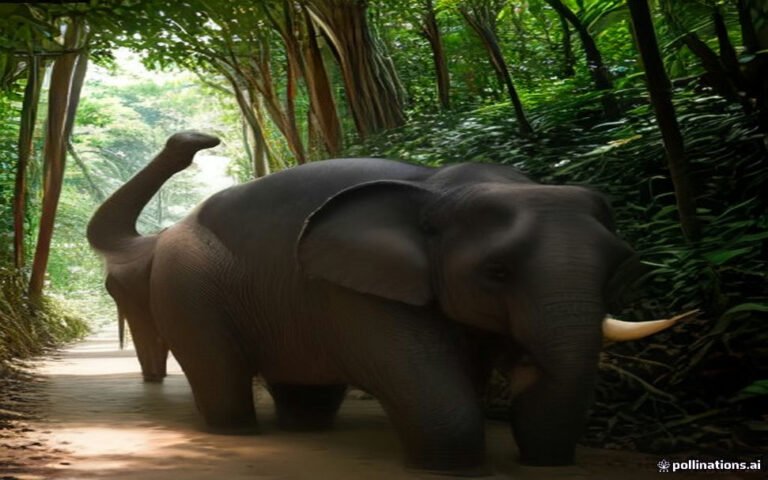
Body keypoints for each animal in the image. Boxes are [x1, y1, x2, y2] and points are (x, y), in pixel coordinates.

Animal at [87, 131, 690, 475]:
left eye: (619, 267)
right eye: (497, 272)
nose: (200, 141)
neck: (451, 188)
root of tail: (169, 231)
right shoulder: (357, 292)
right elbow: (423, 380)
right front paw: (449, 466)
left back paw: (305, 431)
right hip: (188, 284)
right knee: (219, 369)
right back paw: (236, 433)